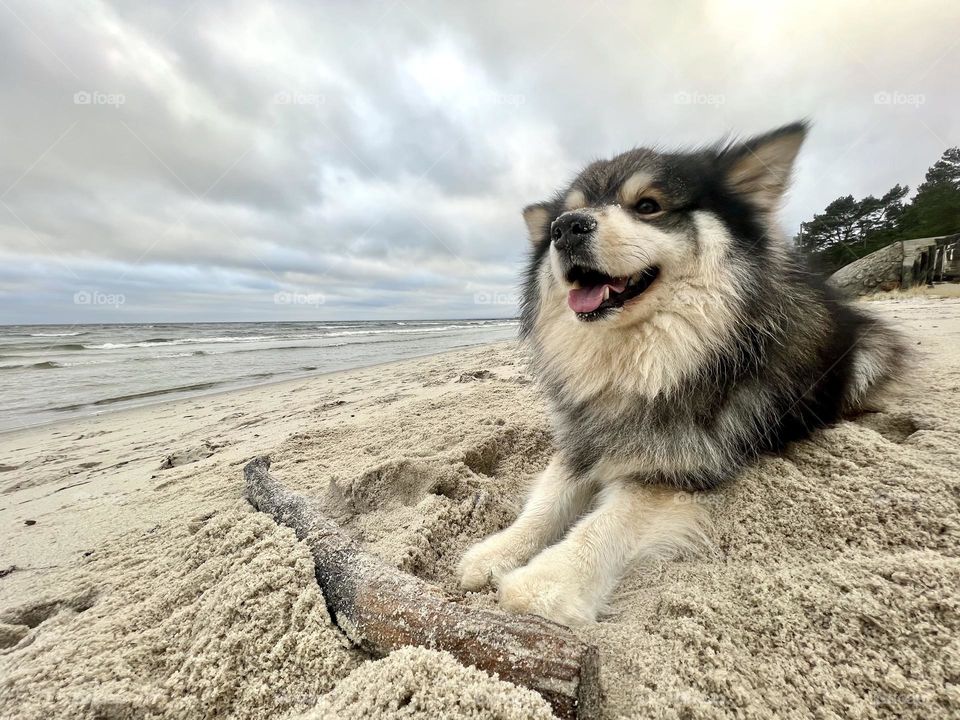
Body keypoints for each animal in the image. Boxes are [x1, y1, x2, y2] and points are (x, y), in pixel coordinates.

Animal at [458, 122, 908, 624]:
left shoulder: (677, 470)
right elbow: (545, 503)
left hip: (865, 355)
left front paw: (547, 583)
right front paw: (497, 550)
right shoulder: (584, 440)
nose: (565, 228)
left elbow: (606, 522)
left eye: (647, 206)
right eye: (564, 216)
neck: (641, 364)